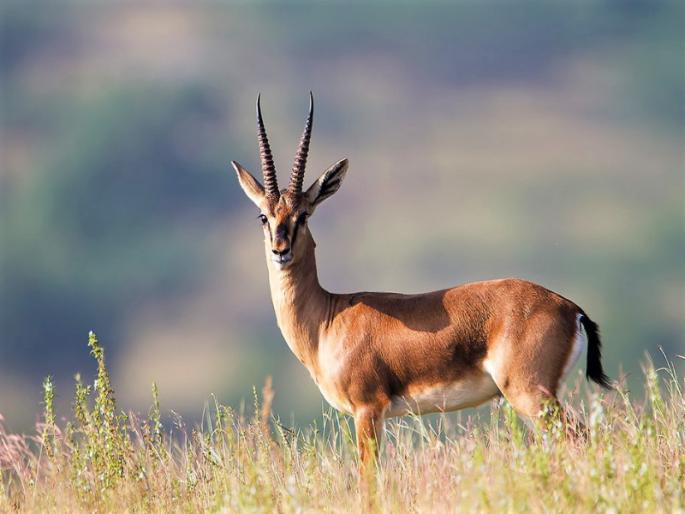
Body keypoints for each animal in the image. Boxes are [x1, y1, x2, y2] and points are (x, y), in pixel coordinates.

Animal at [230, 93, 611, 467]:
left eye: (304, 215)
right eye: (264, 216)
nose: (281, 250)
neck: (328, 318)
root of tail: (570, 308)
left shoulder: (368, 411)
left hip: (530, 394)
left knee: (581, 438)